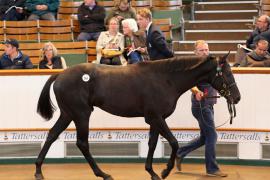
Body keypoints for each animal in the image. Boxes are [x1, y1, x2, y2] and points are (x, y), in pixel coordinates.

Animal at [35, 54, 240, 180]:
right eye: (226, 73)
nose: (237, 97)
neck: (165, 79)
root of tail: (60, 75)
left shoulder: (154, 119)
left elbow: (152, 144)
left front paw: (152, 172)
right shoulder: (156, 117)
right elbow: (173, 142)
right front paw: (164, 171)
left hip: (68, 114)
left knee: (52, 135)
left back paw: (38, 171)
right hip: (81, 114)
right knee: (82, 143)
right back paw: (103, 174)